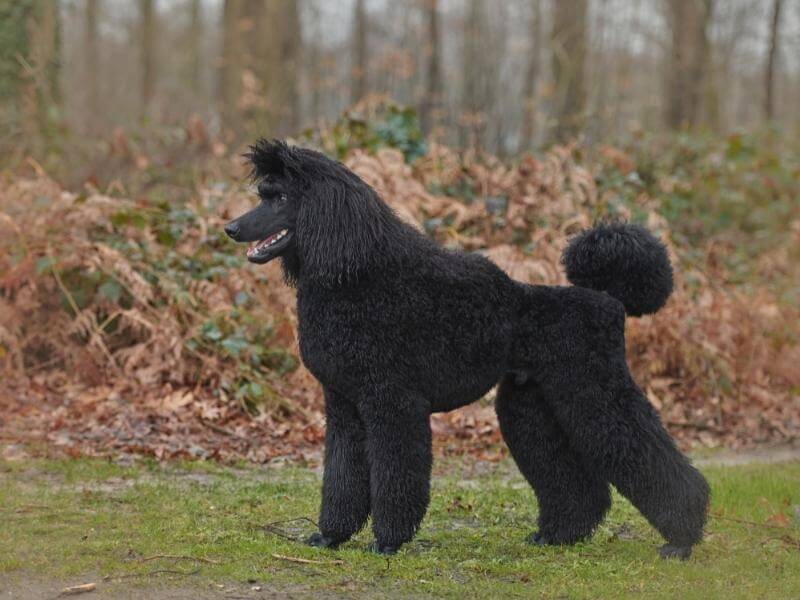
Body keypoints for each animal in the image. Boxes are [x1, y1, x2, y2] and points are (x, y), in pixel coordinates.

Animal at [225, 139, 708, 556]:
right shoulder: (345, 407)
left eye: (279, 198)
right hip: (532, 404)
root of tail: (609, 299)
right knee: (576, 483)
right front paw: (331, 536)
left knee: (645, 453)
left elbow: (395, 475)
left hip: (594, 390)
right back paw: (557, 536)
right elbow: (342, 479)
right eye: (263, 194)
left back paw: (682, 540)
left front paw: (388, 542)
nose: (231, 227)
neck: (354, 276)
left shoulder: (392, 403)